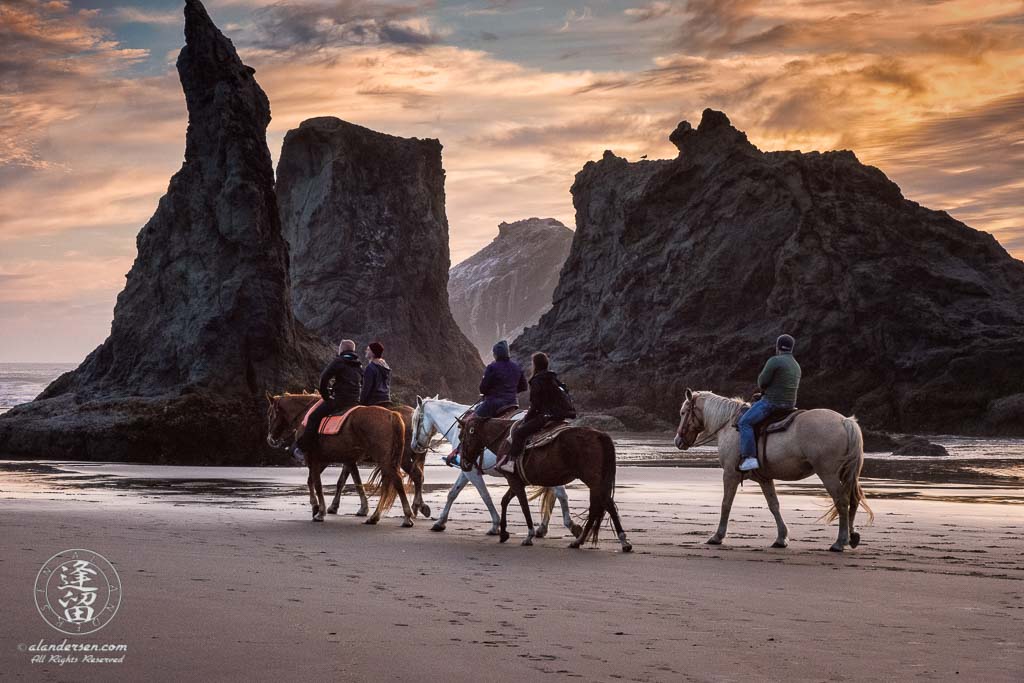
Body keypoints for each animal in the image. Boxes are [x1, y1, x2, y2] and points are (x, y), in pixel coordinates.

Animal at [268, 393, 415, 528]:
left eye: (270, 415)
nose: (270, 439)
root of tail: (392, 415)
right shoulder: (346, 460)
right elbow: (350, 481)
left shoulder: (315, 458)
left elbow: (316, 483)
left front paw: (319, 510)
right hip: (388, 460)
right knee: (391, 483)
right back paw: (376, 516)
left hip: (387, 460)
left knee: (399, 480)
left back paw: (407, 516)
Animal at [409, 395, 585, 540]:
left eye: (416, 420)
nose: (414, 446)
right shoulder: (466, 469)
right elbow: (453, 493)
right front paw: (440, 522)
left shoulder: (471, 471)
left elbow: (484, 495)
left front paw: (495, 525)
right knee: (556, 494)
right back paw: (544, 528)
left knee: (560, 494)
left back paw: (570, 525)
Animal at [458, 413, 630, 552]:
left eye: (461, 436)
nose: (464, 464)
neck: (504, 438)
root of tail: (600, 434)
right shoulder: (516, 481)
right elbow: (505, 501)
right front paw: (504, 533)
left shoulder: (514, 481)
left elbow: (523, 506)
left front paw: (528, 535)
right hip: (596, 482)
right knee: (600, 507)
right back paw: (581, 541)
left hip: (592, 480)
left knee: (605, 505)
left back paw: (620, 541)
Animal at [671, 387, 872, 552]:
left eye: (683, 412)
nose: (678, 441)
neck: (729, 424)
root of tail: (845, 421)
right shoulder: (764, 478)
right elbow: (774, 505)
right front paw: (781, 538)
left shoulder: (730, 474)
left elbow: (726, 504)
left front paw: (717, 536)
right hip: (847, 473)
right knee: (854, 499)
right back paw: (852, 537)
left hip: (828, 474)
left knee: (842, 501)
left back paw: (840, 542)